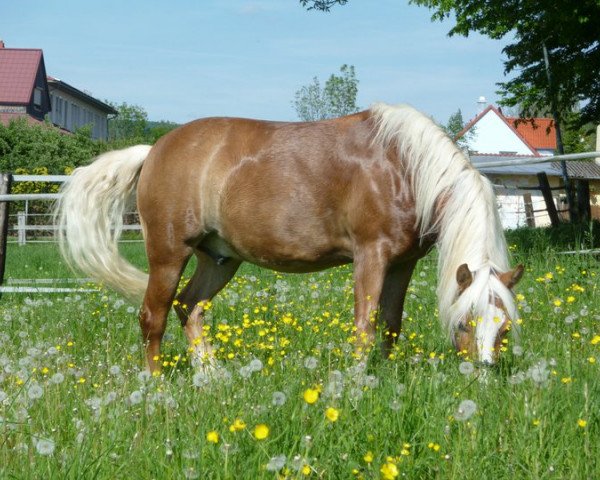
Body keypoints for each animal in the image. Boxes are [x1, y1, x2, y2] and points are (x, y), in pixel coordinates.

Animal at [57, 104, 524, 372]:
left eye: (503, 328)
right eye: (465, 322)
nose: (482, 373)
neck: (404, 165)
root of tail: (152, 150)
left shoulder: (404, 262)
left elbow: (391, 324)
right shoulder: (371, 254)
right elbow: (365, 323)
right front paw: (358, 385)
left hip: (220, 259)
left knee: (189, 308)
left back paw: (209, 379)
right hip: (169, 255)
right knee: (152, 318)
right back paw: (158, 389)